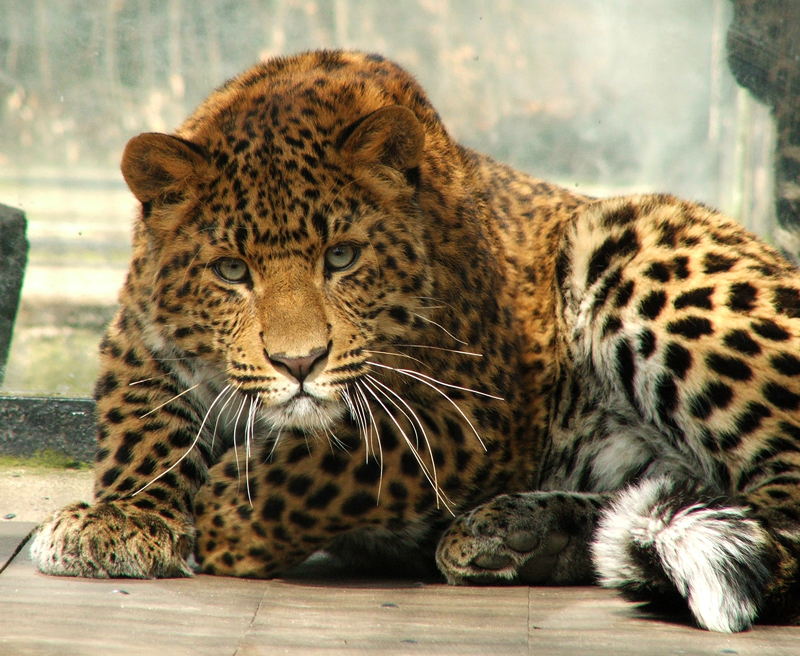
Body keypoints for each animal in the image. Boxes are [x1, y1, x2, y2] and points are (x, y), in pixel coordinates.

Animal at [31, 48, 800, 632]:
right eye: (231, 271)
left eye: (341, 258)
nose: (298, 362)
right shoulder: (137, 340)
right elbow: (143, 428)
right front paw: (121, 519)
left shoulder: (466, 407)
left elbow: (325, 466)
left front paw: (227, 513)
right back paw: (526, 535)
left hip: (629, 242)